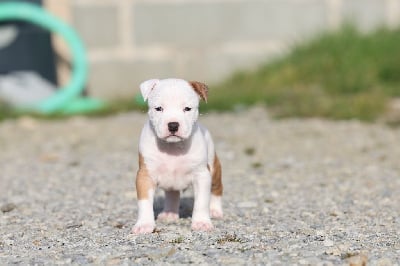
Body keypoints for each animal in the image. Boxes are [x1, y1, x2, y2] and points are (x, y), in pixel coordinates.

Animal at [133, 78, 223, 234]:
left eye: (187, 109)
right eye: (159, 108)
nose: (173, 125)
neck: (173, 148)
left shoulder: (202, 175)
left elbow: (201, 202)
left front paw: (201, 222)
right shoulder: (145, 176)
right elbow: (144, 202)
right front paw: (144, 224)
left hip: (214, 167)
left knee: (217, 188)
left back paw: (215, 210)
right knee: (172, 194)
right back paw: (169, 213)